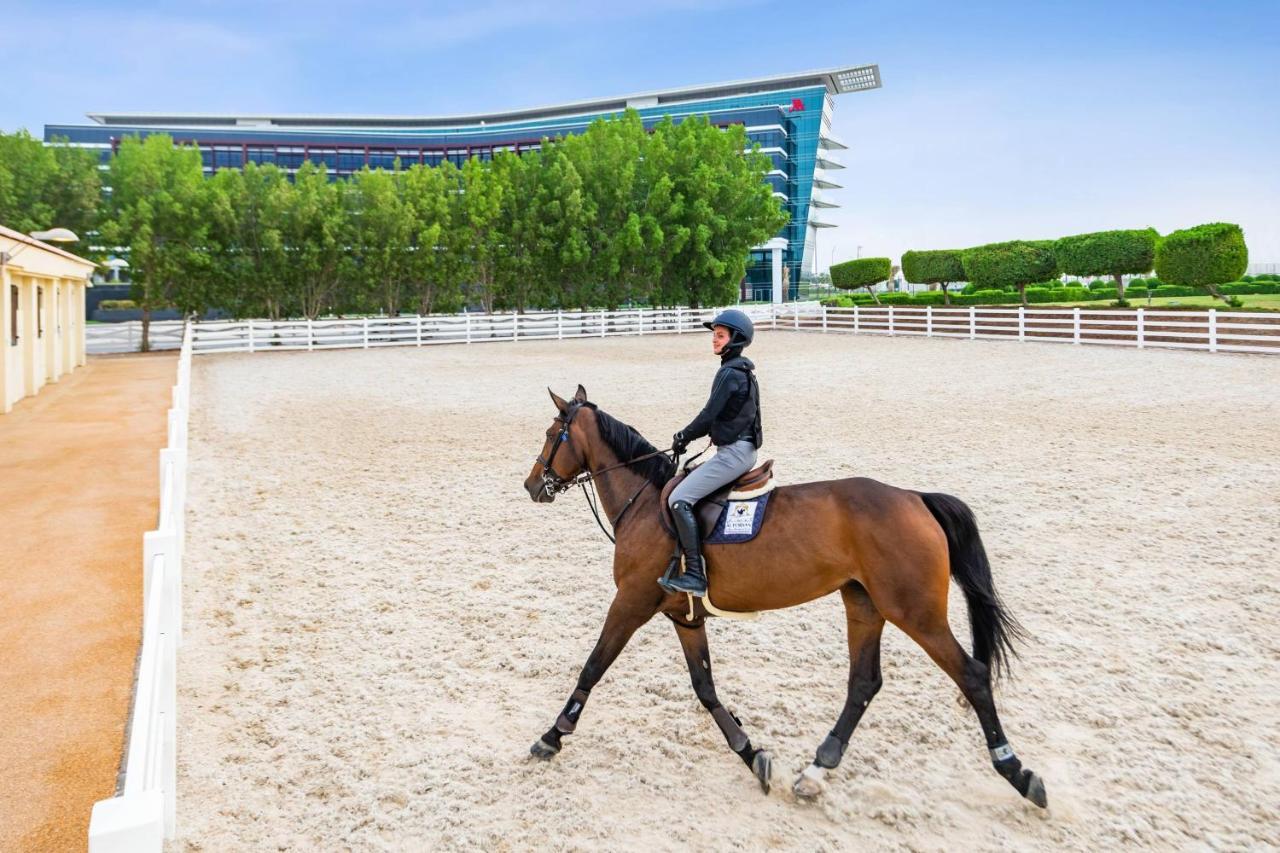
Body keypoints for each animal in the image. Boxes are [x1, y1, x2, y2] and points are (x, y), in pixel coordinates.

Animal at [524, 384, 1044, 804]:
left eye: (551, 434)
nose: (532, 485)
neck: (647, 503)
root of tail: (914, 498)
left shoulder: (631, 603)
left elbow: (594, 666)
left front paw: (552, 735)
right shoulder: (685, 617)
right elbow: (706, 689)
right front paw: (750, 753)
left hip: (915, 613)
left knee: (972, 675)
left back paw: (1017, 771)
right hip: (864, 604)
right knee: (864, 684)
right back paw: (816, 770)